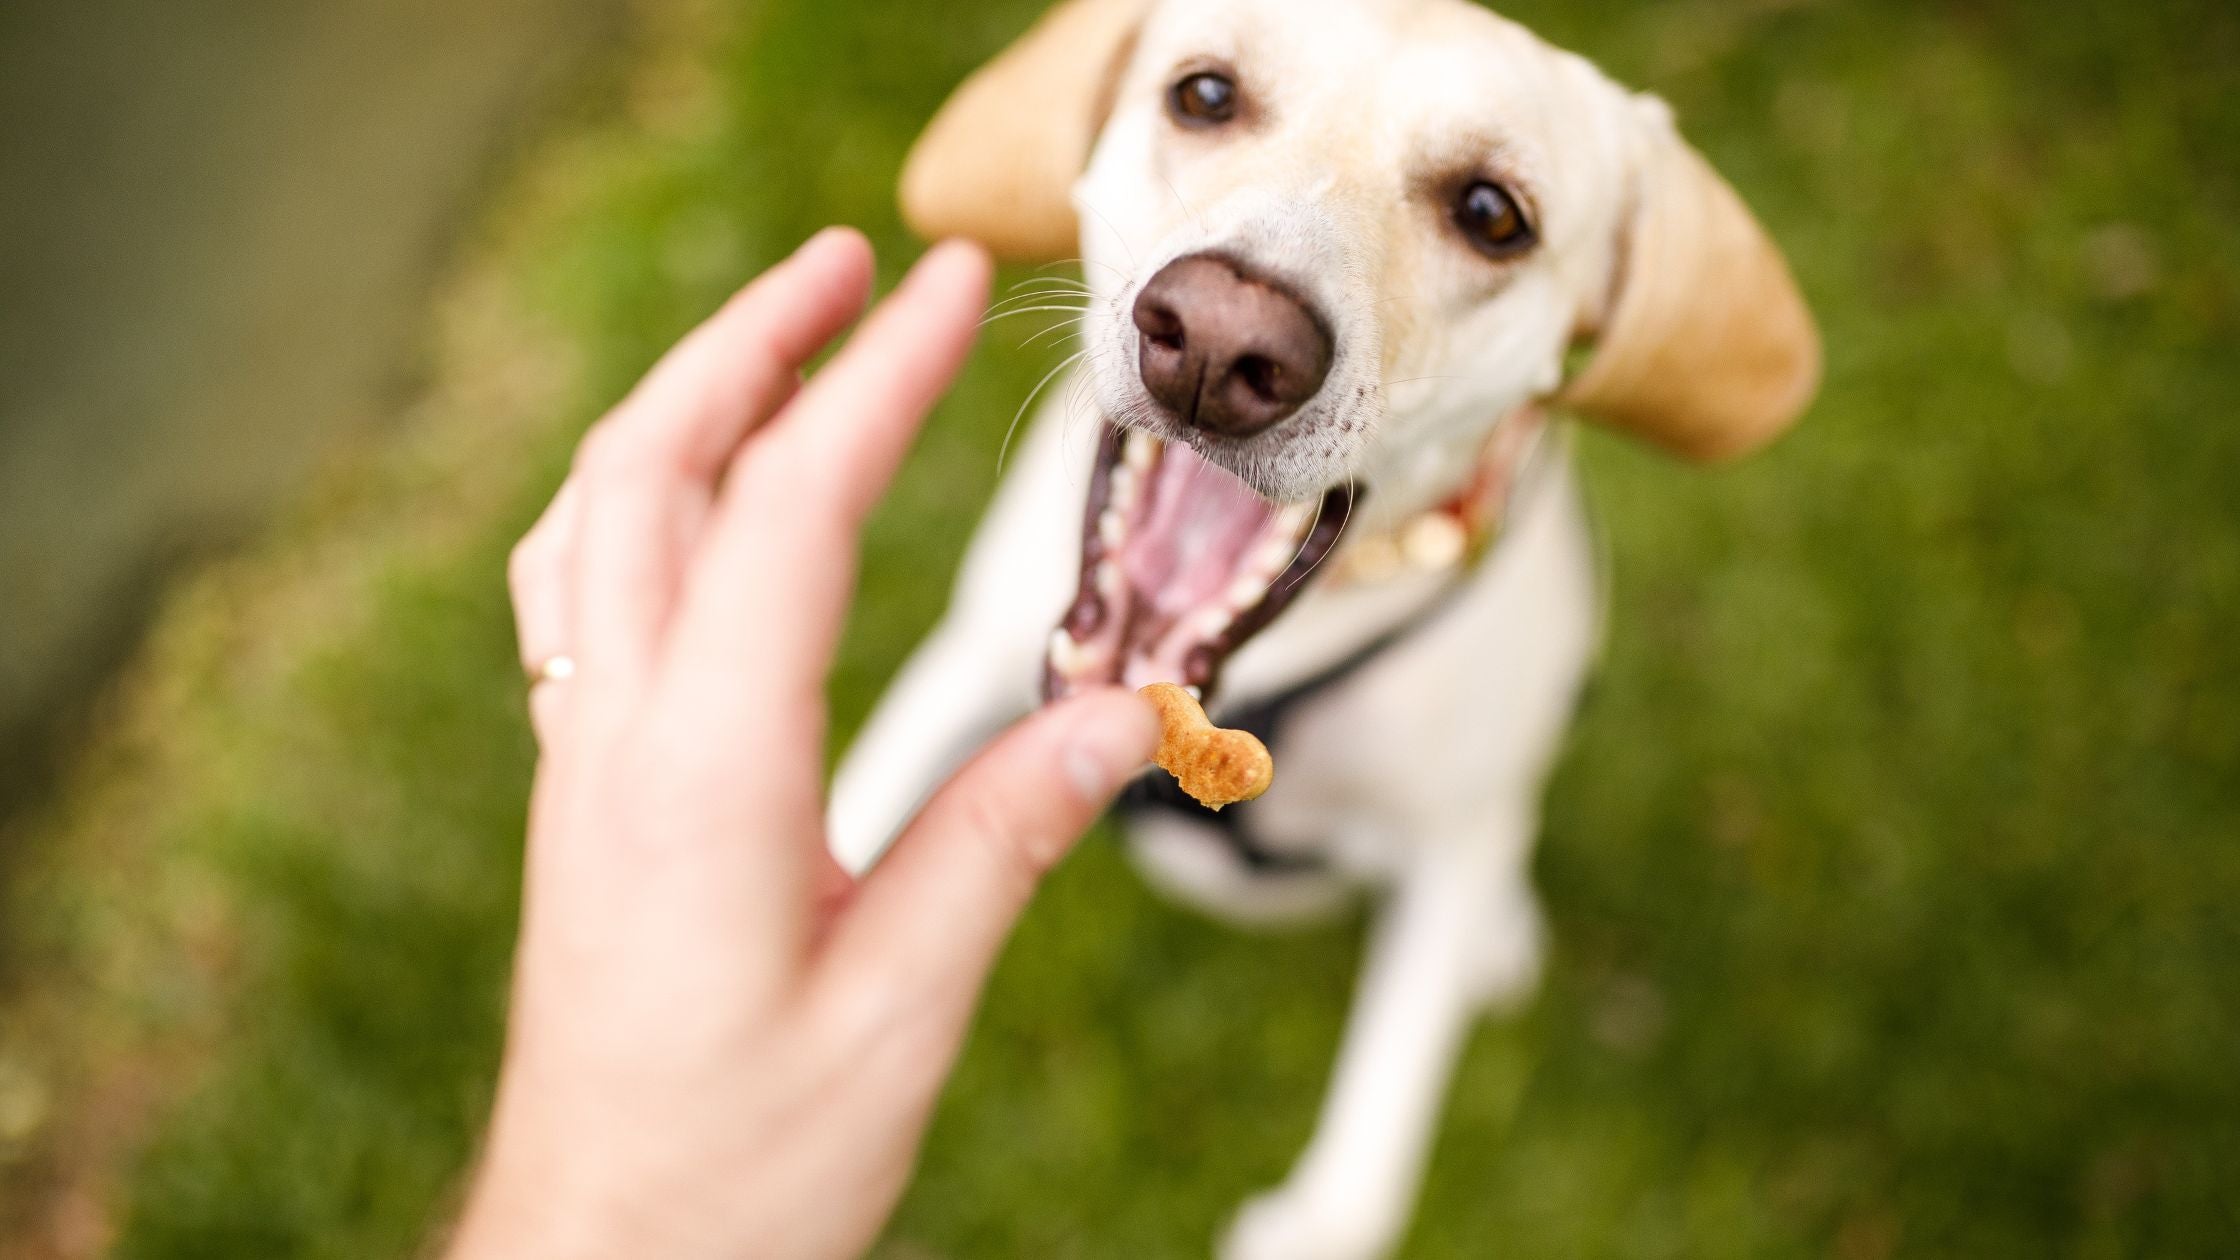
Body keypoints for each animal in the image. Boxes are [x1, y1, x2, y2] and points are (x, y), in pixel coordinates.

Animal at [833, 4, 1809, 1246]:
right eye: (1203, 94)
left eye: (1491, 214)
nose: (1217, 344)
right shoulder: (959, 668)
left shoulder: (1446, 849)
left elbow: (1376, 1140)